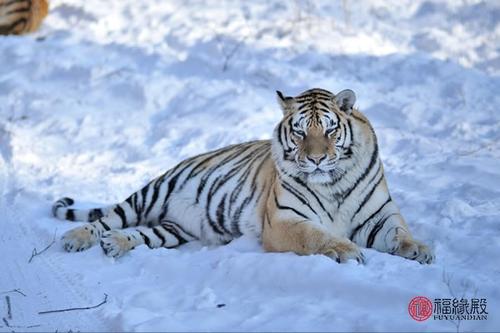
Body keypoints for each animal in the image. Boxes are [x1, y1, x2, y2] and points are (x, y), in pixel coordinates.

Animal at [50, 87, 434, 264]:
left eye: (329, 130)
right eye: (299, 131)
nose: (316, 160)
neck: (333, 183)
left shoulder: (379, 215)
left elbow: (400, 232)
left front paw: (421, 250)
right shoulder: (284, 221)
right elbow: (317, 236)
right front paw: (348, 252)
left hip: (173, 229)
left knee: (140, 234)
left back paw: (115, 244)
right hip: (152, 193)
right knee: (106, 219)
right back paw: (76, 238)